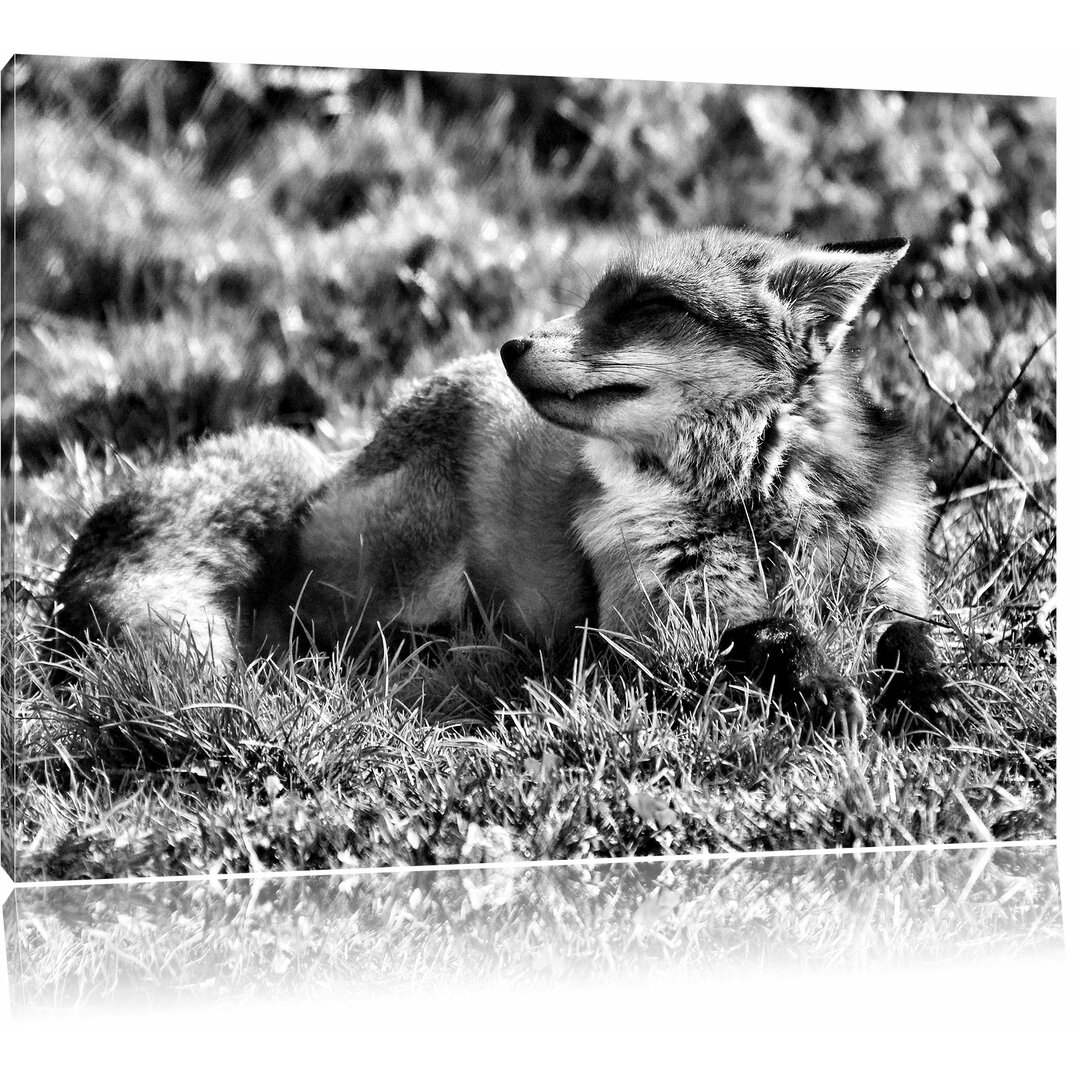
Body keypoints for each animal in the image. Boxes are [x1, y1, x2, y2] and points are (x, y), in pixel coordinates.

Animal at [48, 225, 946, 734]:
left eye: (641, 306)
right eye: (592, 297)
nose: (514, 344)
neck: (754, 512)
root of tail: (337, 459)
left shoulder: (887, 578)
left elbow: (912, 638)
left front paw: (936, 697)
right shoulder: (652, 628)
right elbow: (767, 635)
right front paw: (826, 690)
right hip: (409, 567)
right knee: (317, 640)